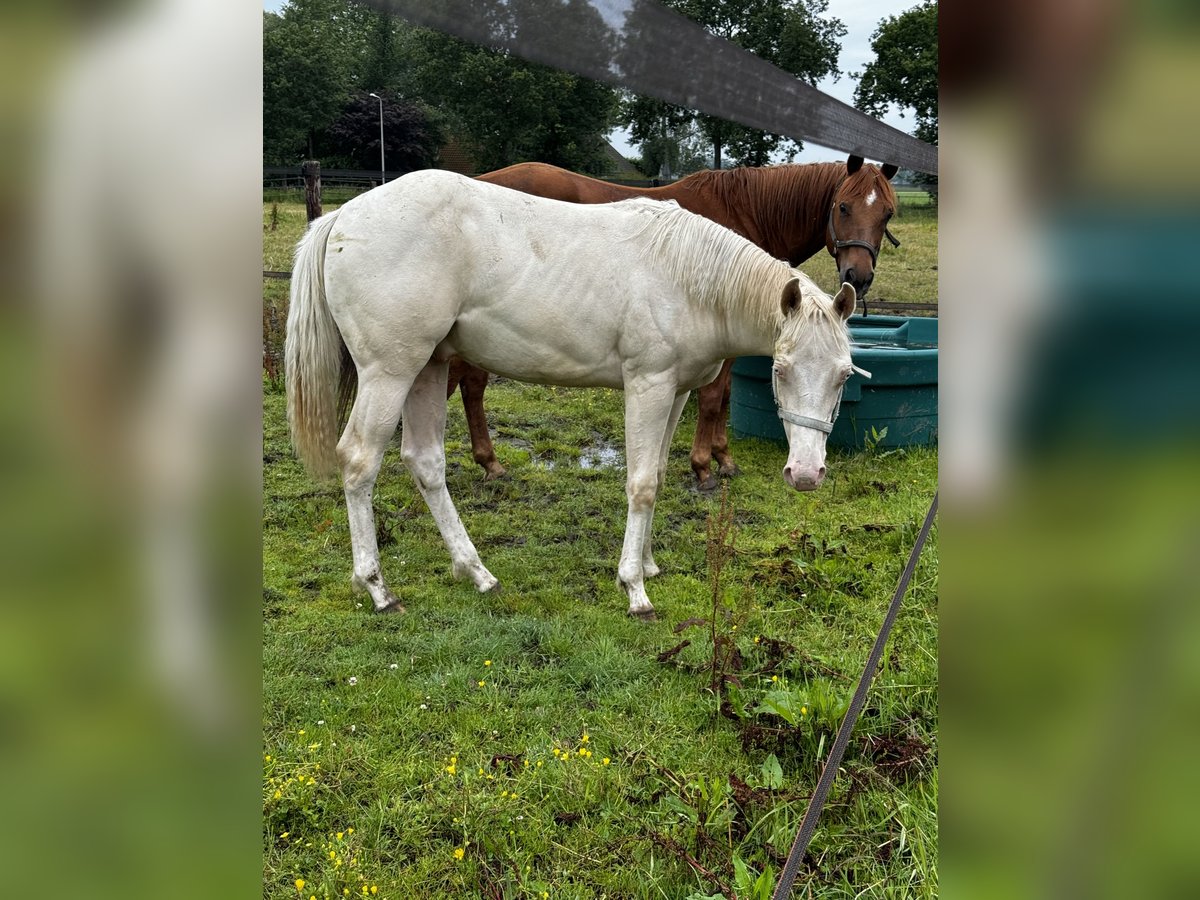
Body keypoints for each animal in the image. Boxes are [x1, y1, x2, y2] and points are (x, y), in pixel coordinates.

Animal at [286, 169, 859, 619]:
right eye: (780, 371)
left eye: (843, 376)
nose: (806, 474)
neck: (687, 276)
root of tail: (342, 217)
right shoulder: (648, 385)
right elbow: (641, 484)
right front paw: (635, 587)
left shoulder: (676, 392)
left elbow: (659, 474)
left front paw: (649, 563)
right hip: (390, 371)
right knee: (359, 460)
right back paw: (377, 588)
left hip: (427, 366)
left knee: (425, 462)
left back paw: (477, 572)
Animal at [451, 157, 902, 489]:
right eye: (843, 206)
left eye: (886, 214)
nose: (858, 276)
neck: (744, 216)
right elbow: (713, 397)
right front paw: (705, 465)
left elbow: (721, 397)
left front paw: (721, 457)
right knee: (471, 386)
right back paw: (489, 462)